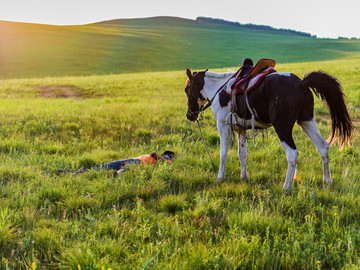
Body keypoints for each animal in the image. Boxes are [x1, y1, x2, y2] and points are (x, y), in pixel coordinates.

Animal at [184, 67, 352, 190]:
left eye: (187, 89)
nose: (189, 115)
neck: (220, 90)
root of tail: (302, 83)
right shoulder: (241, 129)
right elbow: (242, 154)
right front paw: (244, 177)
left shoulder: (223, 125)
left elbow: (223, 153)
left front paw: (220, 177)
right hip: (306, 121)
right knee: (323, 147)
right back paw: (327, 181)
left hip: (283, 127)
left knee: (292, 154)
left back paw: (286, 187)